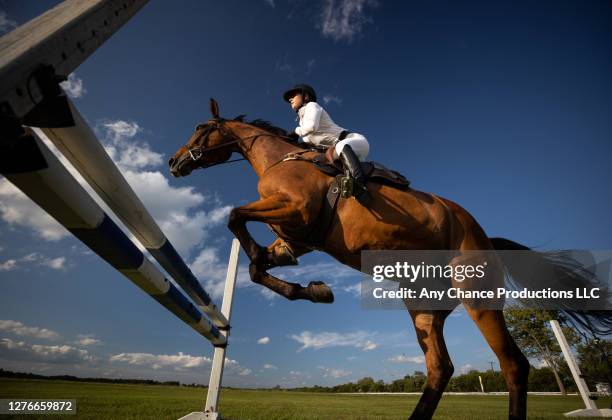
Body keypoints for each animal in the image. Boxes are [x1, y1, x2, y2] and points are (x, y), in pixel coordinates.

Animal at [167, 99, 608, 420]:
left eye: (200, 128)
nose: (173, 162)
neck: (280, 160)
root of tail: (484, 236)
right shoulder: (295, 238)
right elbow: (258, 266)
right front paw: (316, 290)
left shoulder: (294, 211)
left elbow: (234, 217)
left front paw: (301, 280)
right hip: (424, 306)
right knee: (440, 369)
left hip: (477, 296)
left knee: (513, 365)